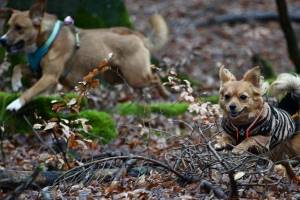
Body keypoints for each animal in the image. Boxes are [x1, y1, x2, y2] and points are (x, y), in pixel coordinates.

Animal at [0, 0, 170, 111]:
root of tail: (136, 35)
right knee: (150, 77)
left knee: (155, 77)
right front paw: (15, 83)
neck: (47, 39)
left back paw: (166, 95)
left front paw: (15, 104)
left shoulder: (49, 76)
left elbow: (30, 91)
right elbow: (17, 67)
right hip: (117, 77)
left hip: (134, 76)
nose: (2, 40)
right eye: (8, 26)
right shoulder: (38, 72)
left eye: (19, 28)